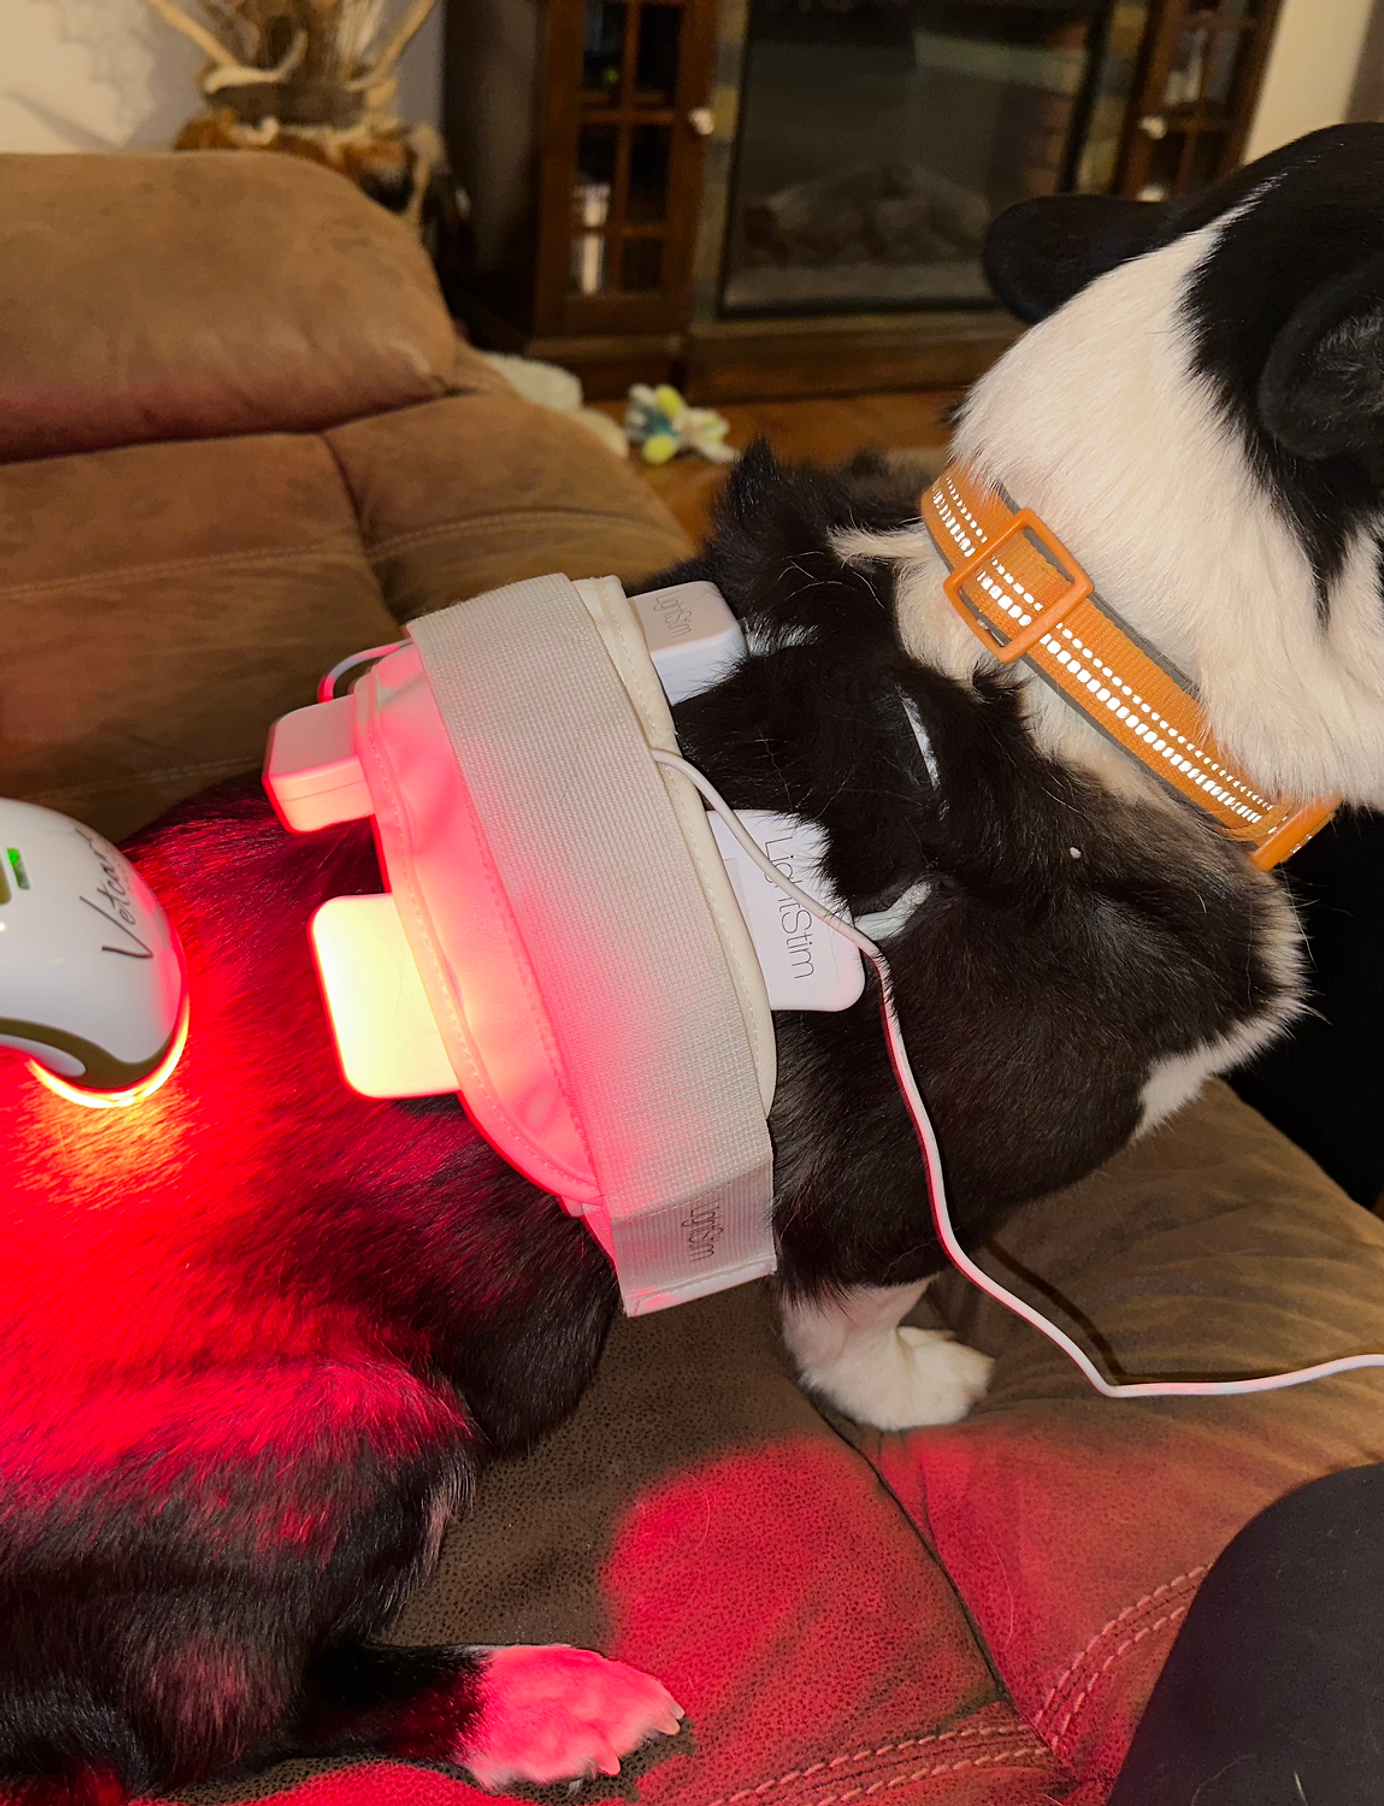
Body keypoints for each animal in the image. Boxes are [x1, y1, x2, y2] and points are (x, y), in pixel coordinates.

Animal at [2, 123, 1384, 1806]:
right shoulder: (904, 1185)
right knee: (221, 1709)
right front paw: (908, 1387)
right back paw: (533, 1697)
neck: (1083, 644)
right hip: (363, 1407)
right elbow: (853, 1305)